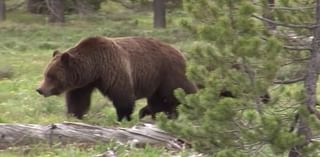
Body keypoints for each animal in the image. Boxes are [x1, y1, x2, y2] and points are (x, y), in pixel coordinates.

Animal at [37, 36, 198, 121]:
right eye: (46, 74)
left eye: (51, 76)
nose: (39, 89)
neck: (95, 67)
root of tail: (179, 52)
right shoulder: (84, 83)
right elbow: (78, 100)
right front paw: (74, 116)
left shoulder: (114, 70)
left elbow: (123, 98)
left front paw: (123, 118)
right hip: (156, 81)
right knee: (159, 100)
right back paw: (150, 112)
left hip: (168, 73)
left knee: (179, 91)